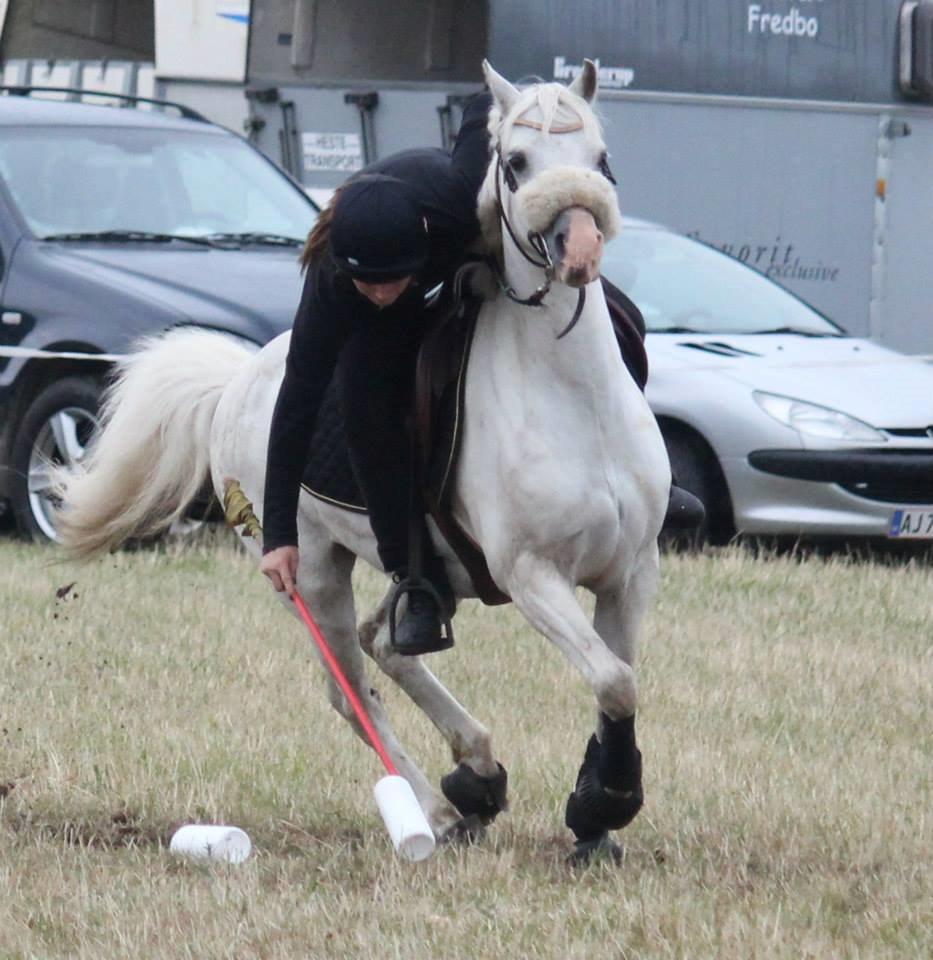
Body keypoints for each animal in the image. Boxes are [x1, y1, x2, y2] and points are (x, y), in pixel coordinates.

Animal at [56, 62, 668, 864]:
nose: (580, 249)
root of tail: (240, 378)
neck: (573, 398)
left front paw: (596, 813)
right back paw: (433, 809)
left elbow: (617, 681)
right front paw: (606, 799)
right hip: (313, 575)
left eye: (600, 160)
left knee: (389, 642)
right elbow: (614, 680)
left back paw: (476, 773)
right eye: (516, 163)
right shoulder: (532, 576)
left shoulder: (629, 571)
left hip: (427, 569)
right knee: (348, 687)